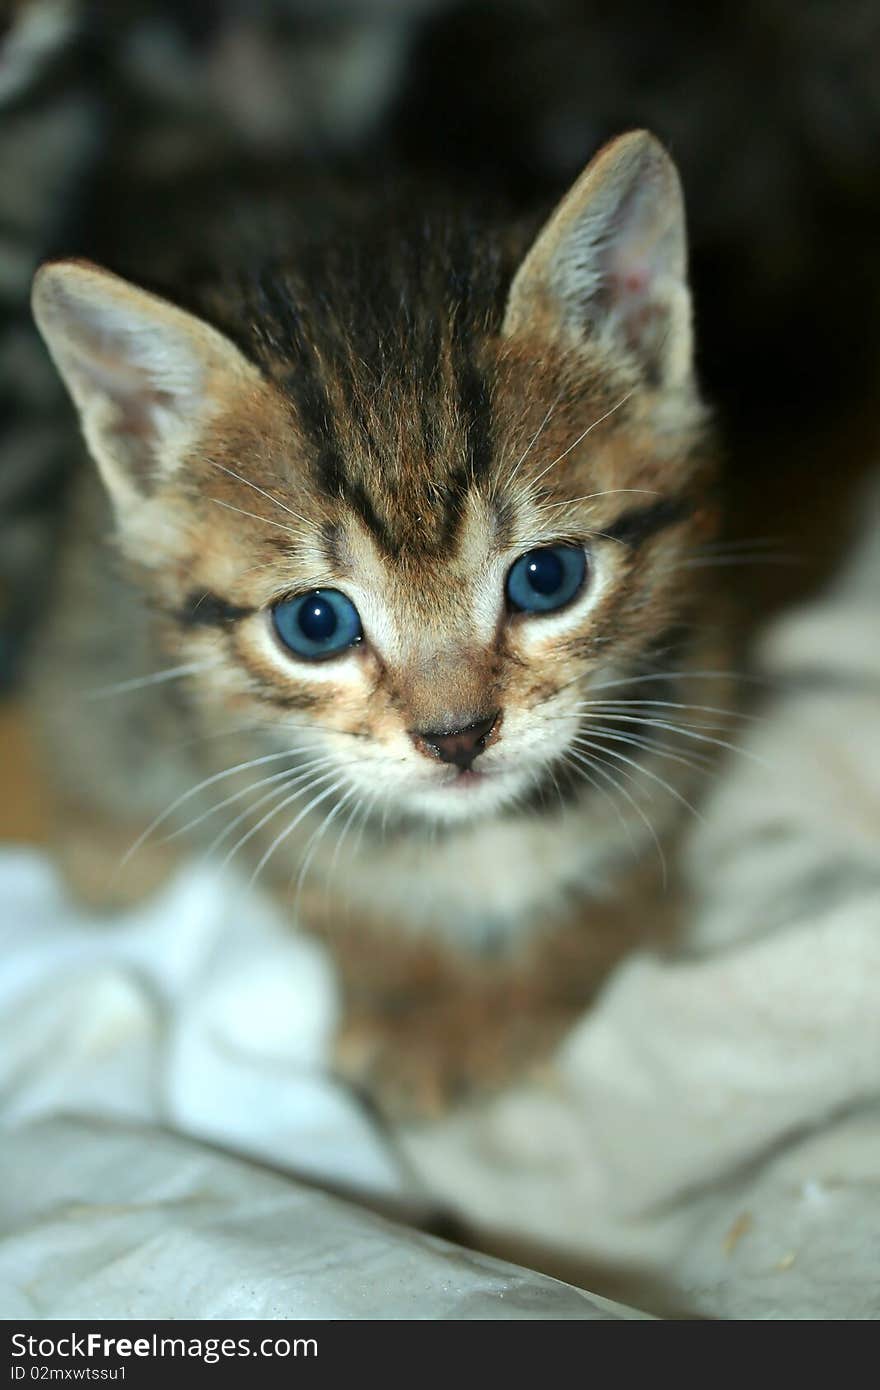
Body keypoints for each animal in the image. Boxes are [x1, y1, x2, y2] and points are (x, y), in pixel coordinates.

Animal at [27, 132, 728, 1117]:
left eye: (547, 578)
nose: (457, 736)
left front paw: (550, 983)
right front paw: (417, 1003)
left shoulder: (695, 689)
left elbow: (630, 857)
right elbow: (329, 886)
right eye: (315, 623)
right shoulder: (236, 769)